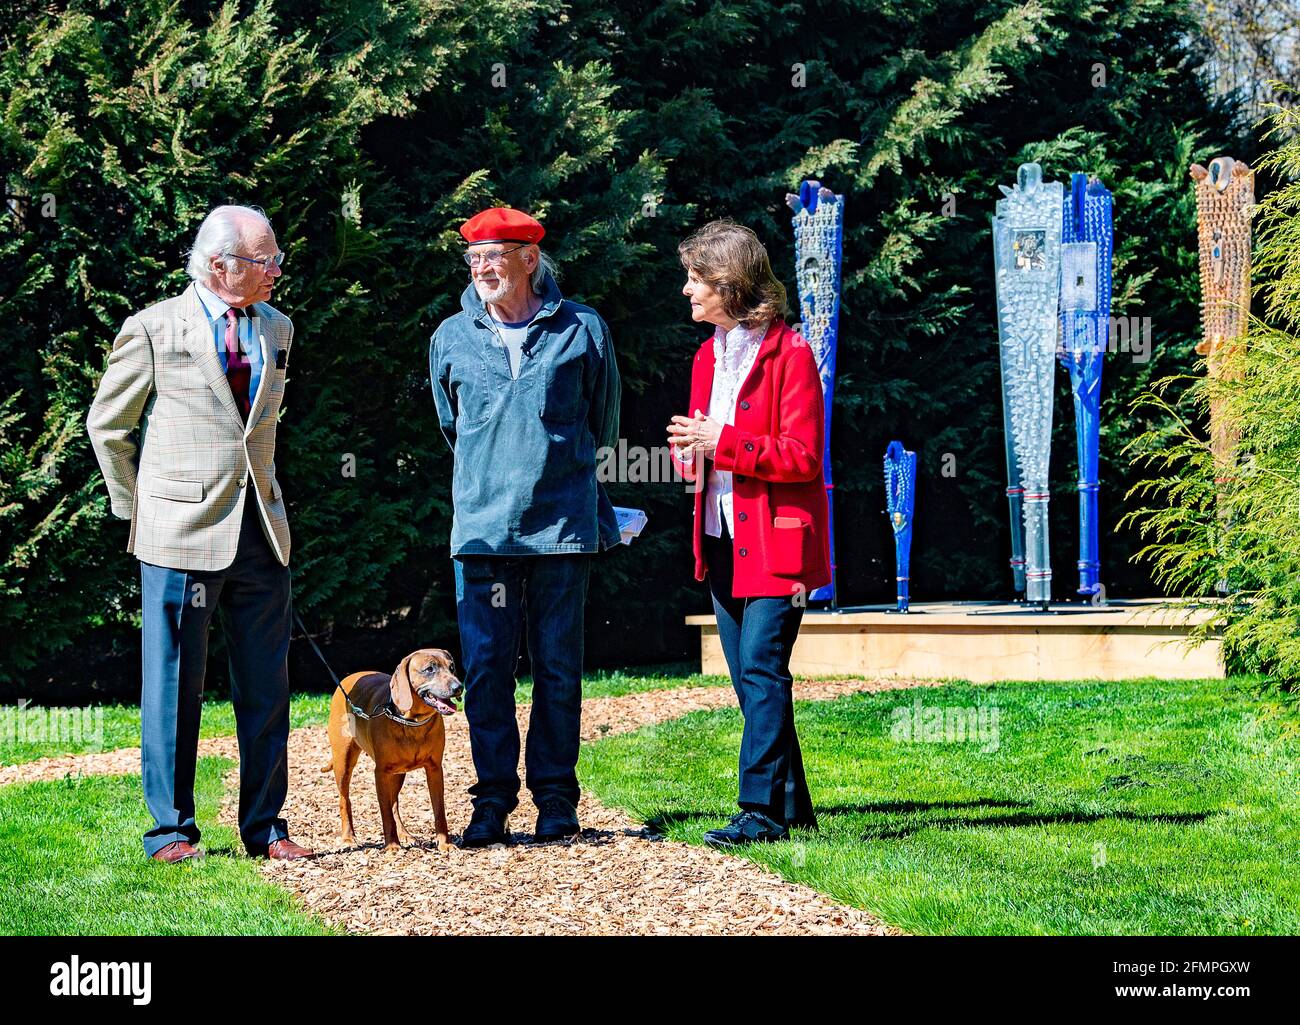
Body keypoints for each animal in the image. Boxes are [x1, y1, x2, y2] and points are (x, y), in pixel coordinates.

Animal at [322, 652, 465, 853]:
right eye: (430, 669)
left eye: (452, 668)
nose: (458, 687)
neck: (411, 723)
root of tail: (348, 678)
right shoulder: (381, 773)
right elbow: (385, 813)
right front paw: (391, 845)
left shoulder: (435, 769)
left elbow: (439, 809)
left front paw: (445, 843)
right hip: (343, 761)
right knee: (345, 799)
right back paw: (349, 837)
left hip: (399, 773)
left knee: (395, 803)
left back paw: (404, 834)